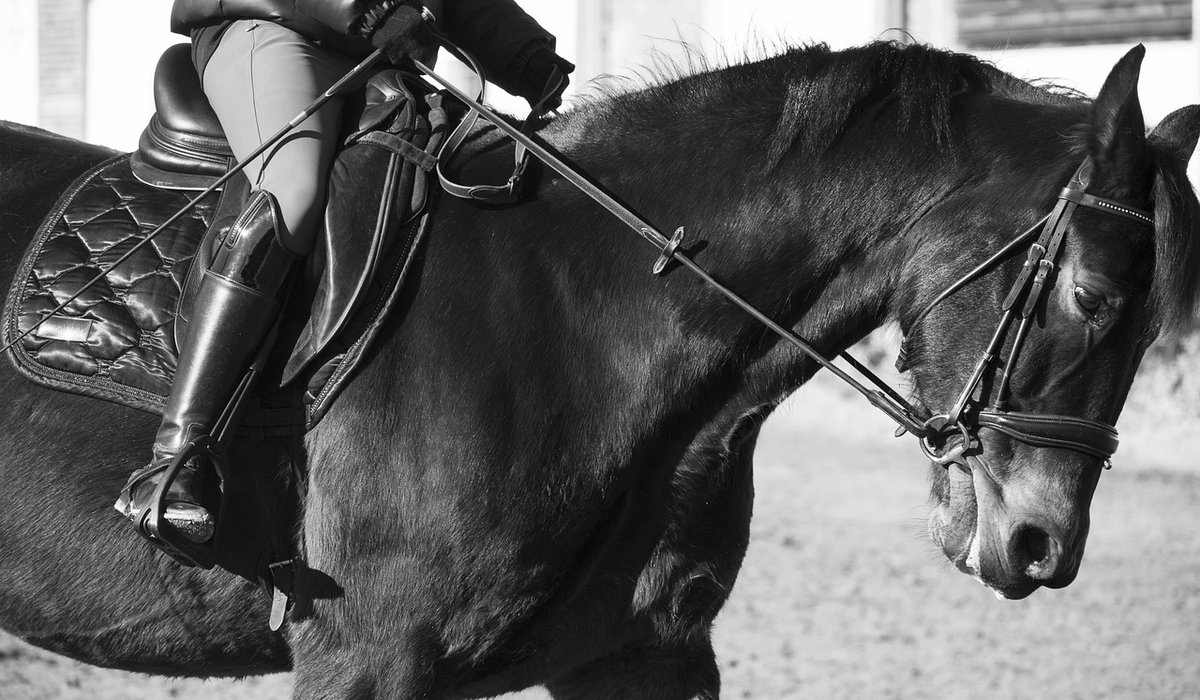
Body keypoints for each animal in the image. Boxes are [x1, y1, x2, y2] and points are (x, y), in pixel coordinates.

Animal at [1, 39, 1197, 699]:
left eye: (1154, 329)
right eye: (1093, 297)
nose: (1041, 547)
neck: (593, 313)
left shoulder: (643, 655)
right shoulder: (367, 652)